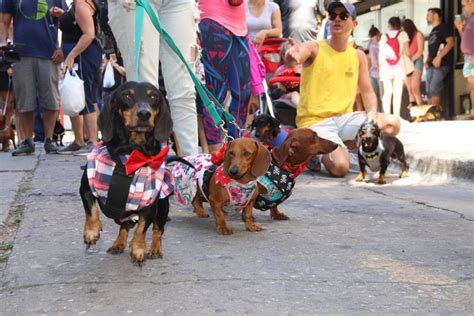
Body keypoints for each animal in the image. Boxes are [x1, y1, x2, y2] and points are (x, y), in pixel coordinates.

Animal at [79, 81, 174, 264]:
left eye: (153, 96)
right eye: (127, 95)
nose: (144, 114)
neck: (130, 153)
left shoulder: (149, 203)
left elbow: (142, 229)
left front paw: (139, 248)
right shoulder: (86, 187)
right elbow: (91, 211)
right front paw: (91, 232)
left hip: (162, 208)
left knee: (158, 229)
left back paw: (155, 249)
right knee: (125, 225)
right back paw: (119, 243)